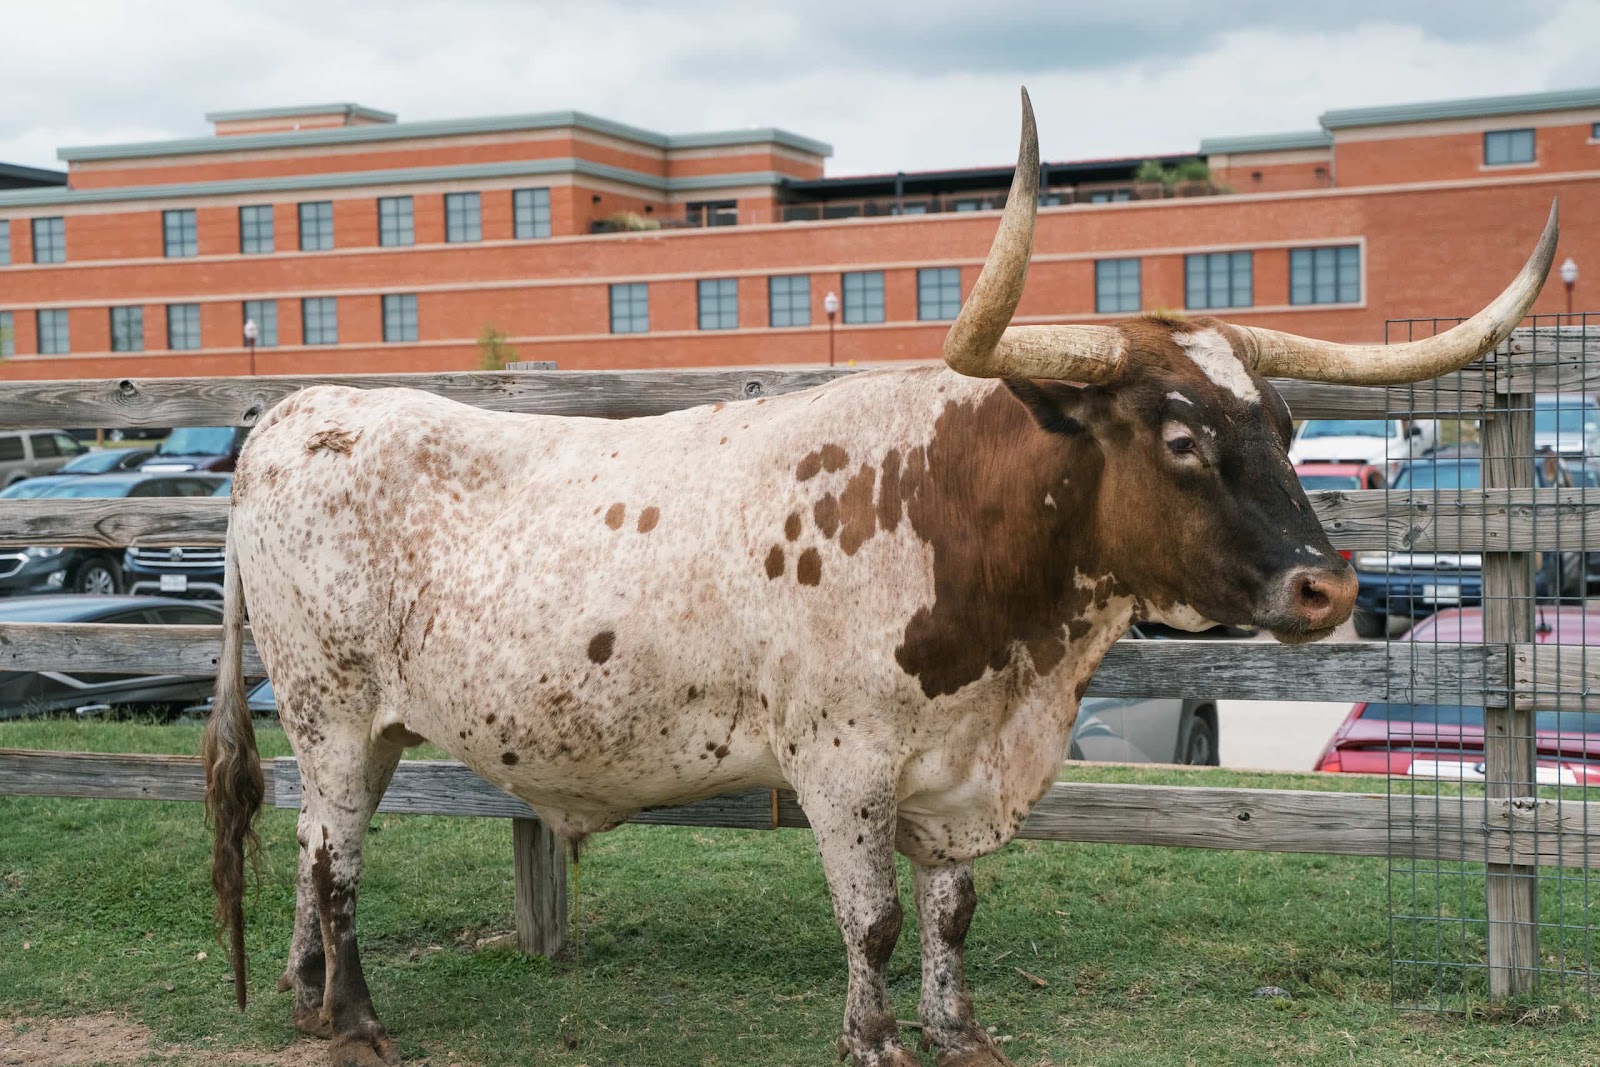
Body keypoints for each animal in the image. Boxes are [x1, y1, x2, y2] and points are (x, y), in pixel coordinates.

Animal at [204, 90, 1557, 1067]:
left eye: (1281, 424)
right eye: (1179, 438)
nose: (1326, 588)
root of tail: (287, 422)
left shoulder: (962, 766)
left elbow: (952, 912)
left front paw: (961, 1032)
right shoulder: (840, 762)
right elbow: (876, 919)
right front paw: (877, 1040)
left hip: (365, 724)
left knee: (318, 844)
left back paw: (305, 994)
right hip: (331, 704)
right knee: (333, 858)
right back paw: (354, 1020)